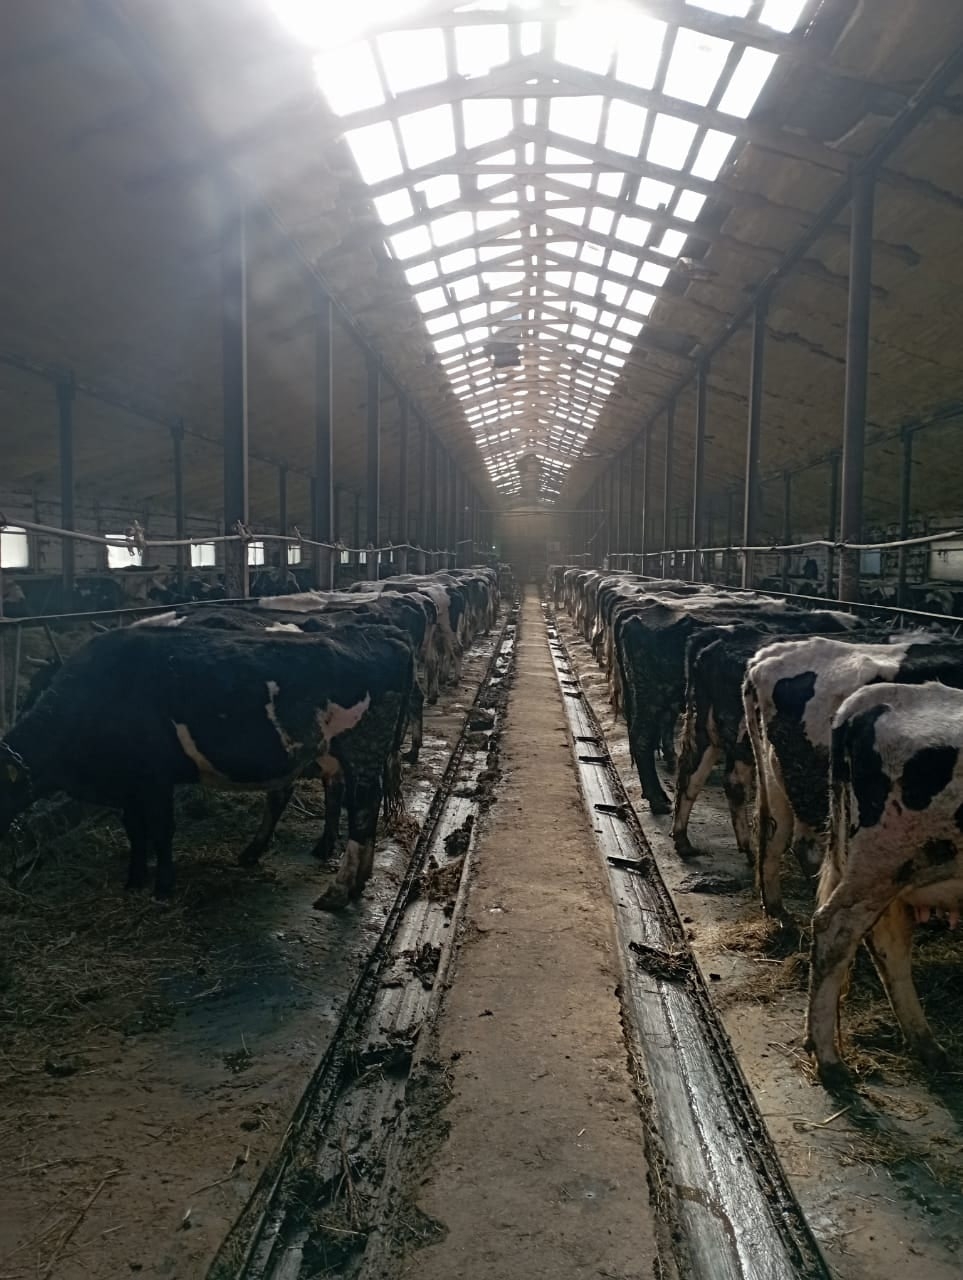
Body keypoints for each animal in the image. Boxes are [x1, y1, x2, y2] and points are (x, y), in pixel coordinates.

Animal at [0, 623, 413, 911]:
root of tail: (383, 635)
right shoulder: (130, 783)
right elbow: (136, 831)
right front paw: (134, 880)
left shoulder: (155, 778)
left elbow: (161, 831)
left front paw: (162, 887)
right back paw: (357, 880)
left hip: (361, 748)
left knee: (361, 812)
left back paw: (340, 891)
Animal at [743, 633, 963, 917]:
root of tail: (763, 661)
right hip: (816, 789)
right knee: (810, 849)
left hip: (776, 776)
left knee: (773, 837)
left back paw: (777, 911)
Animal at [806, 682, 963, 1089]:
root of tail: (868, 698)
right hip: (882, 862)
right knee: (835, 932)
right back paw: (830, 1060)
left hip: (893, 874)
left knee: (887, 943)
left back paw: (927, 1046)